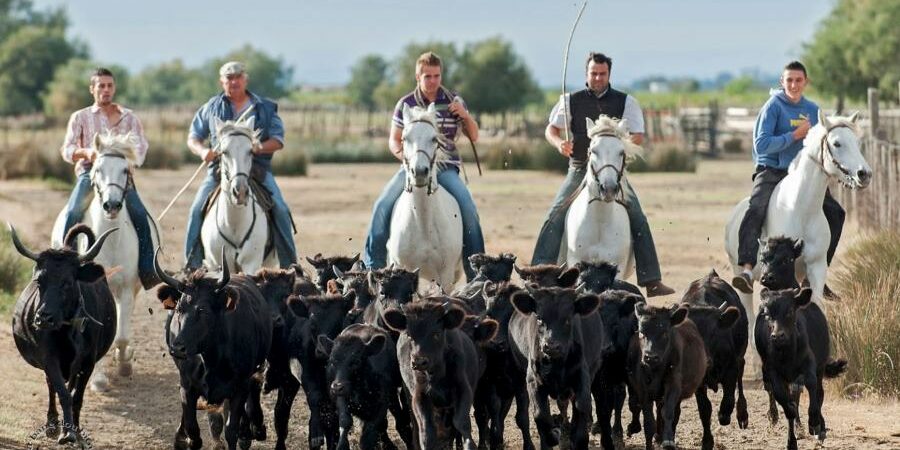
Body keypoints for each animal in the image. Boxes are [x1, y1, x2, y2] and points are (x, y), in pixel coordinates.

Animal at [51, 130, 161, 390]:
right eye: (98, 168)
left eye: (125, 170)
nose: (111, 205)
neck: (109, 241)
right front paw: (99, 379)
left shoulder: (127, 288)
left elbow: (121, 336)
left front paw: (124, 363)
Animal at [200, 116, 274, 272]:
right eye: (224, 152)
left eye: (251, 151)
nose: (240, 192)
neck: (234, 223)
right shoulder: (217, 264)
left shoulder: (251, 264)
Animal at [560, 114, 644, 280]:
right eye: (593, 150)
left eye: (621, 152)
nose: (609, 189)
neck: (600, 221)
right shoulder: (575, 261)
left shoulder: (617, 267)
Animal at [724, 108, 872, 370]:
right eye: (837, 143)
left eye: (856, 141)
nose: (864, 174)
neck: (801, 209)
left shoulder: (816, 267)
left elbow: (815, 305)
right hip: (742, 275)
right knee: (749, 315)